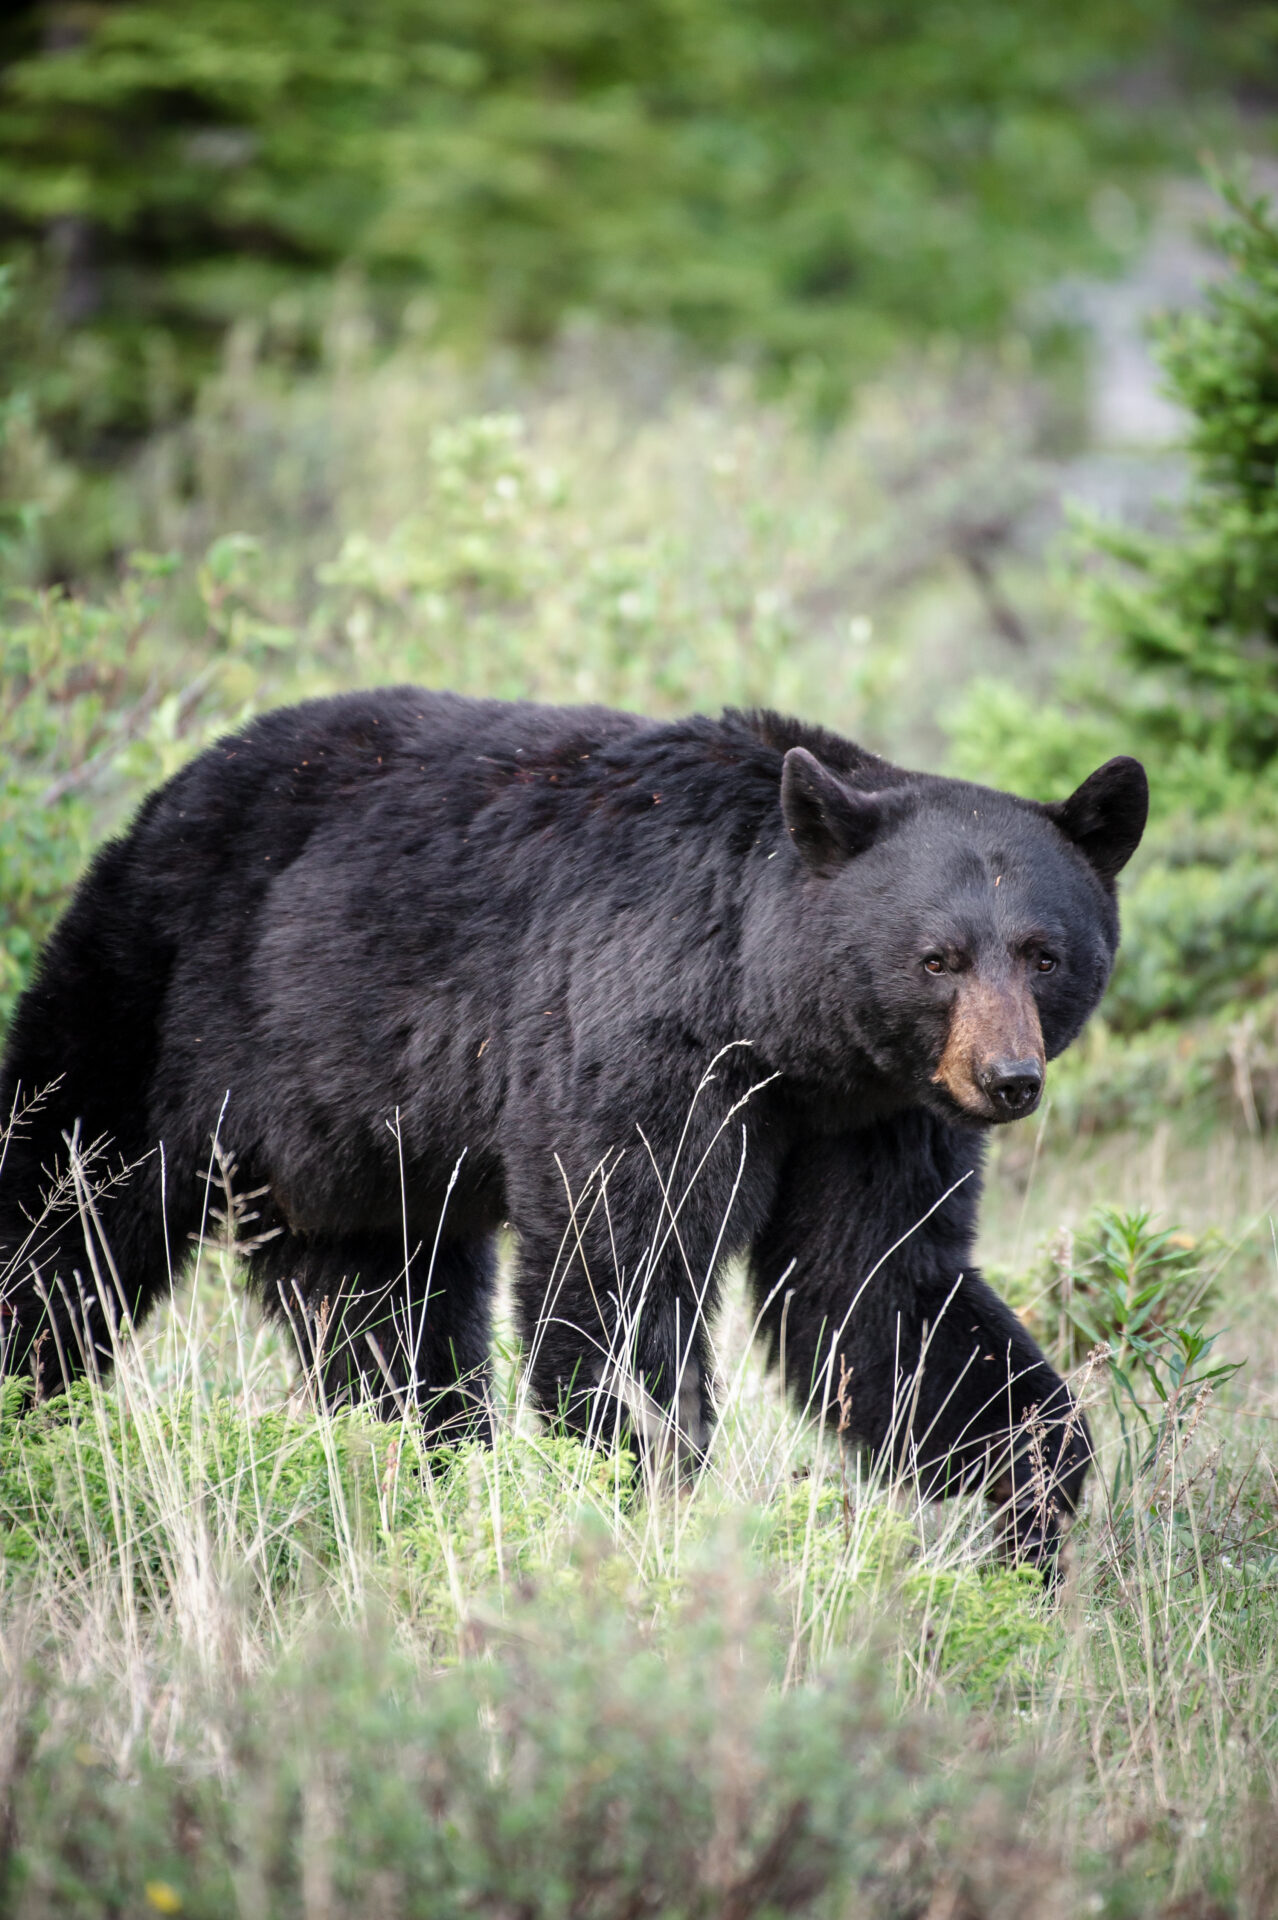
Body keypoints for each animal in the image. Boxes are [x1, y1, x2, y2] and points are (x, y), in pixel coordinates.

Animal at [0, 691, 1136, 1559]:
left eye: (1043, 952)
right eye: (938, 958)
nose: (1006, 1079)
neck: (773, 1010)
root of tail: (172, 790)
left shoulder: (871, 1115)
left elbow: (873, 1295)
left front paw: (1033, 1493)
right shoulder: (640, 1035)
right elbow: (620, 1259)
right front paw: (628, 1470)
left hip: (357, 1153)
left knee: (387, 1316)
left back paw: (422, 1461)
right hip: (155, 1002)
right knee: (63, 1209)